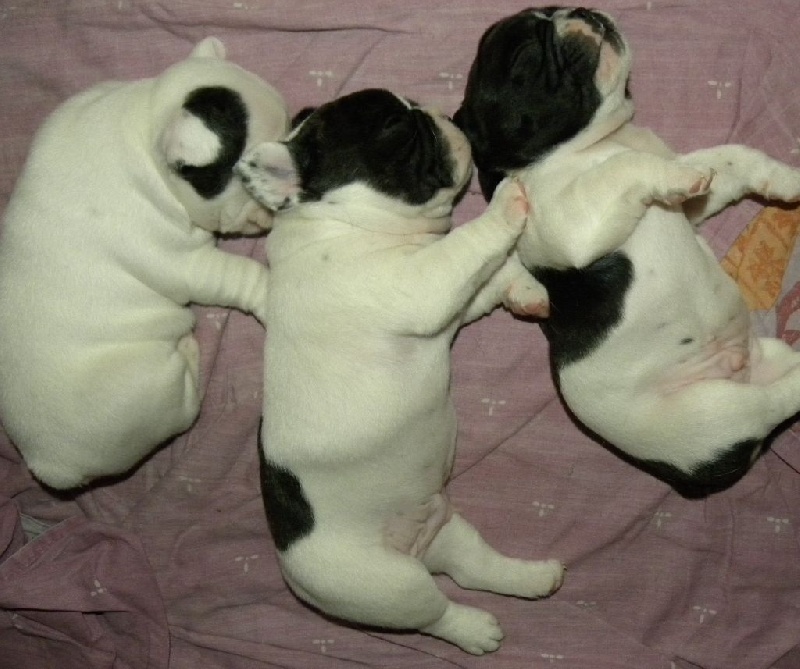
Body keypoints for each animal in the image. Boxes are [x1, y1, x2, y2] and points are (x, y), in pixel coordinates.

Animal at [0, 37, 289, 489]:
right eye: (250, 172)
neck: (146, 127)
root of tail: (49, 464)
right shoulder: (188, 263)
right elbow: (242, 276)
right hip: (149, 392)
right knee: (184, 409)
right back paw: (189, 350)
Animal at [235, 88, 562, 654]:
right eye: (393, 126)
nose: (438, 113)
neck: (341, 223)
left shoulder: (449, 298)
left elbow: (488, 277)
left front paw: (525, 288)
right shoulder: (424, 285)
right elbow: (470, 245)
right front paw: (505, 201)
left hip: (447, 527)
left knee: (475, 567)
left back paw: (533, 577)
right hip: (385, 585)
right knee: (435, 612)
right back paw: (476, 630)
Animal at [454, 7, 800, 497]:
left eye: (554, 10)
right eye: (525, 51)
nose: (579, 10)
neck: (598, 142)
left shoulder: (693, 201)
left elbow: (729, 158)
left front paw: (786, 178)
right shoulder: (566, 223)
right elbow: (624, 168)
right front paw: (672, 175)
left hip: (765, 360)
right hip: (713, 413)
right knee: (772, 402)